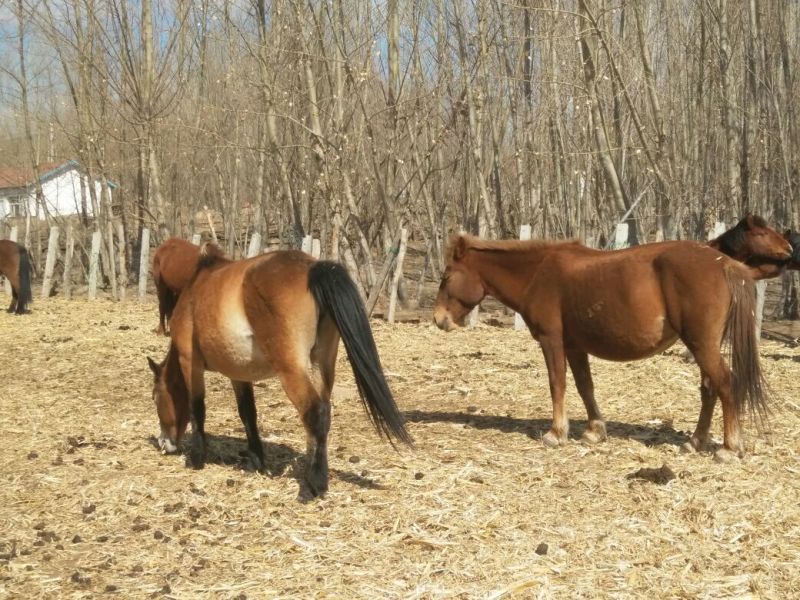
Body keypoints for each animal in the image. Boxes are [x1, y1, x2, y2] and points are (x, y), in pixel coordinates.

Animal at [147, 244, 412, 497]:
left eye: (155, 398)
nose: (164, 442)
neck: (195, 290)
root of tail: (311, 268)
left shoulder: (189, 361)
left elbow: (197, 409)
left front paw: (196, 459)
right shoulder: (239, 373)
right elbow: (248, 414)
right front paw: (256, 461)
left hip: (292, 369)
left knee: (314, 412)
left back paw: (312, 486)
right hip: (321, 364)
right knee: (322, 413)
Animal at [434, 235, 770, 462]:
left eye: (446, 276)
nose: (438, 319)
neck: (538, 272)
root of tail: (725, 263)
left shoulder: (552, 339)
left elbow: (557, 384)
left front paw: (556, 433)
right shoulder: (574, 346)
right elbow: (585, 386)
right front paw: (594, 431)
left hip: (702, 345)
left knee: (725, 384)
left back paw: (728, 448)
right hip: (702, 346)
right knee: (709, 388)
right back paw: (695, 441)